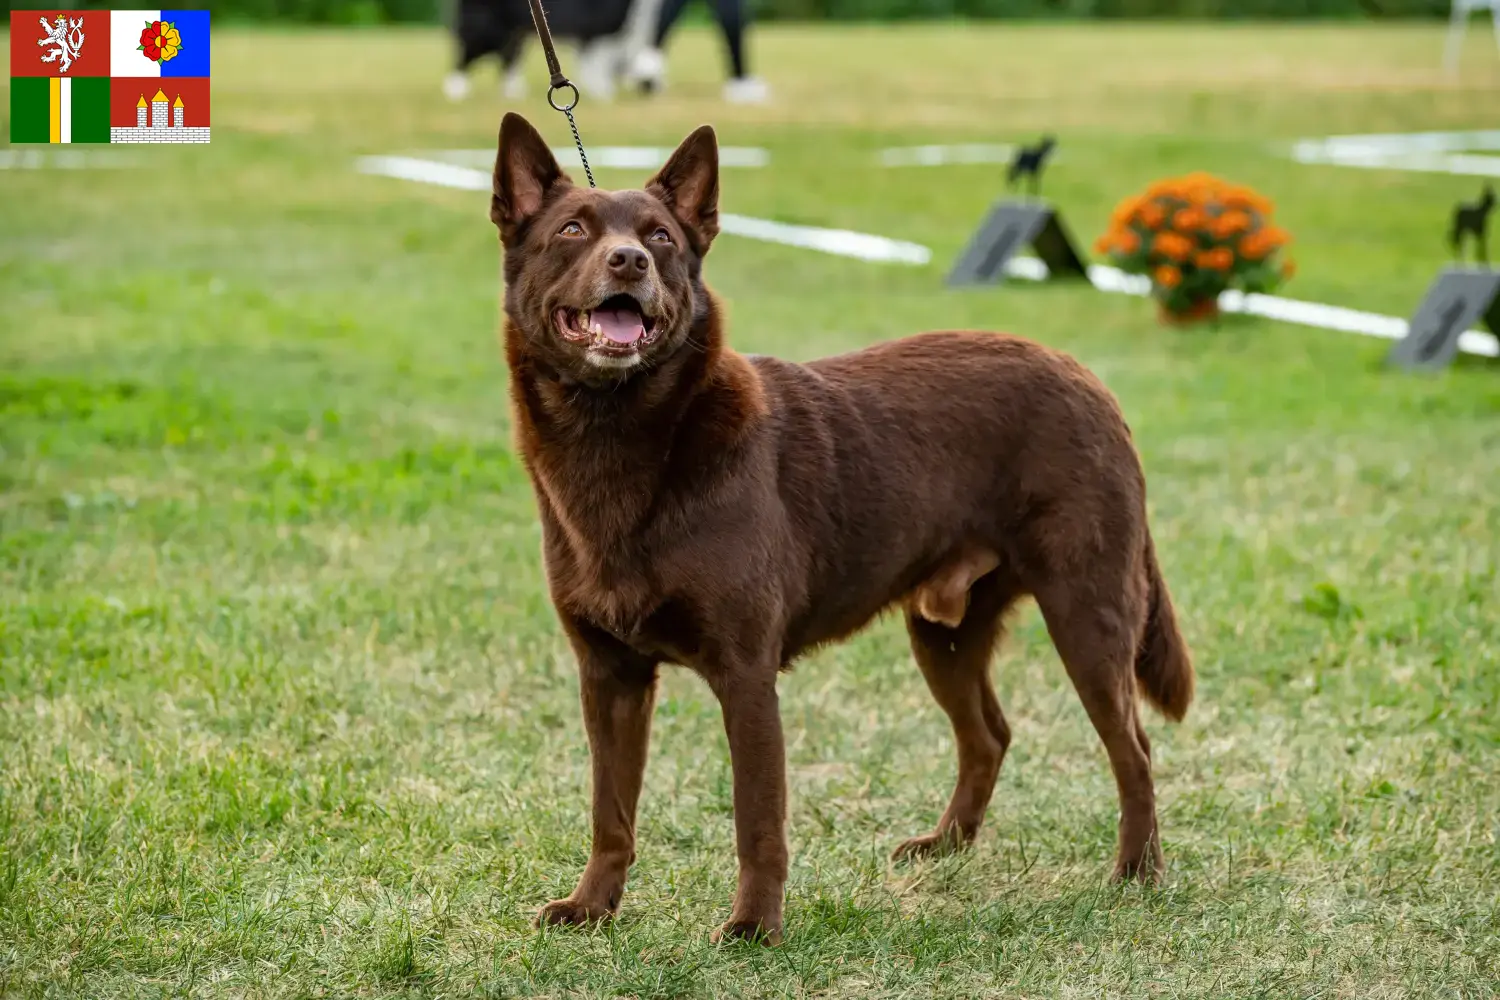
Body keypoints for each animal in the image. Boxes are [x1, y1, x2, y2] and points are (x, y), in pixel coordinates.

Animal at [435, 0, 762, 105]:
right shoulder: (599, 27)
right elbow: (598, 63)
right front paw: (604, 94)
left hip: (517, 30)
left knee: (509, 59)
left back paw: (513, 91)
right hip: (491, 26)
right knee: (466, 52)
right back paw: (456, 90)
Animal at [492, 113, 1194, 941]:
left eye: (660, 237)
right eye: (572, 229)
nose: (629, 261)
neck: (622, 438)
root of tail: (1088, 379)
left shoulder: (746, 674)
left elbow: (757, 819)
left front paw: (754, 928)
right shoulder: (609, 676)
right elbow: (611, 810)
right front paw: (592, 907)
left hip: (1087, 610)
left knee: (1134, 747)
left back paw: (1136, 872)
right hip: (944, 630)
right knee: (989, 734)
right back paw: (945, 846)